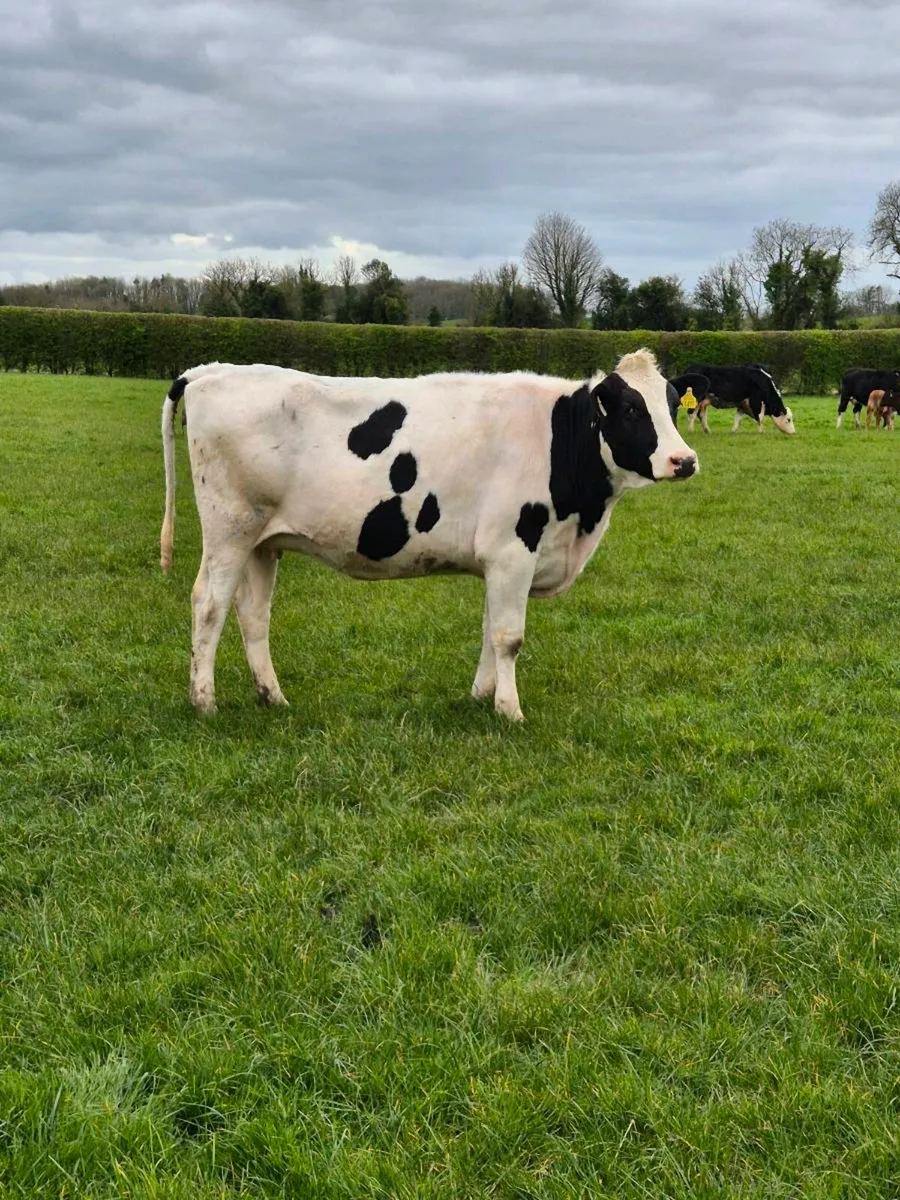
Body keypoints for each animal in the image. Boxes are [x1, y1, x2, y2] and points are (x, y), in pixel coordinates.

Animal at [160, 350, 698, 721]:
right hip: (230, 529)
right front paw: (510, 710)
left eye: (673, 405)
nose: (685, 460)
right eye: (630, 409)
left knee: (253, 613)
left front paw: (483, 696)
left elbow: (488, 629)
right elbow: (509, 636)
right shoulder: (513, 550)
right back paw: (204, 702)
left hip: (262, 541)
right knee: (208, 603)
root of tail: (210, 370)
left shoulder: (498, 561)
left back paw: (272, 696)